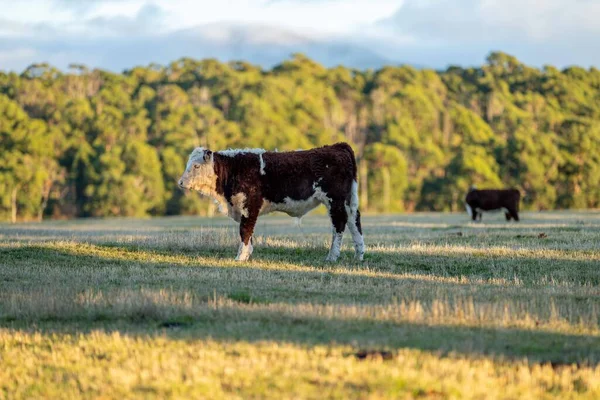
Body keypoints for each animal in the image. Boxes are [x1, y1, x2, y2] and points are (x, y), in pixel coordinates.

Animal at [177, 143, 366, 262]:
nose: (180, 182)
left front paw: (240, 257)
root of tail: (337, 146)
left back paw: (332, 256)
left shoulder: (249, 206)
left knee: (339, 224)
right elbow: (249, 233)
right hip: (348, 200)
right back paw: (359, 254)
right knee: (354, 221)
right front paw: (247, 255)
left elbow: (245, 231)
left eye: (196, 166)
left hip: (335, 200)